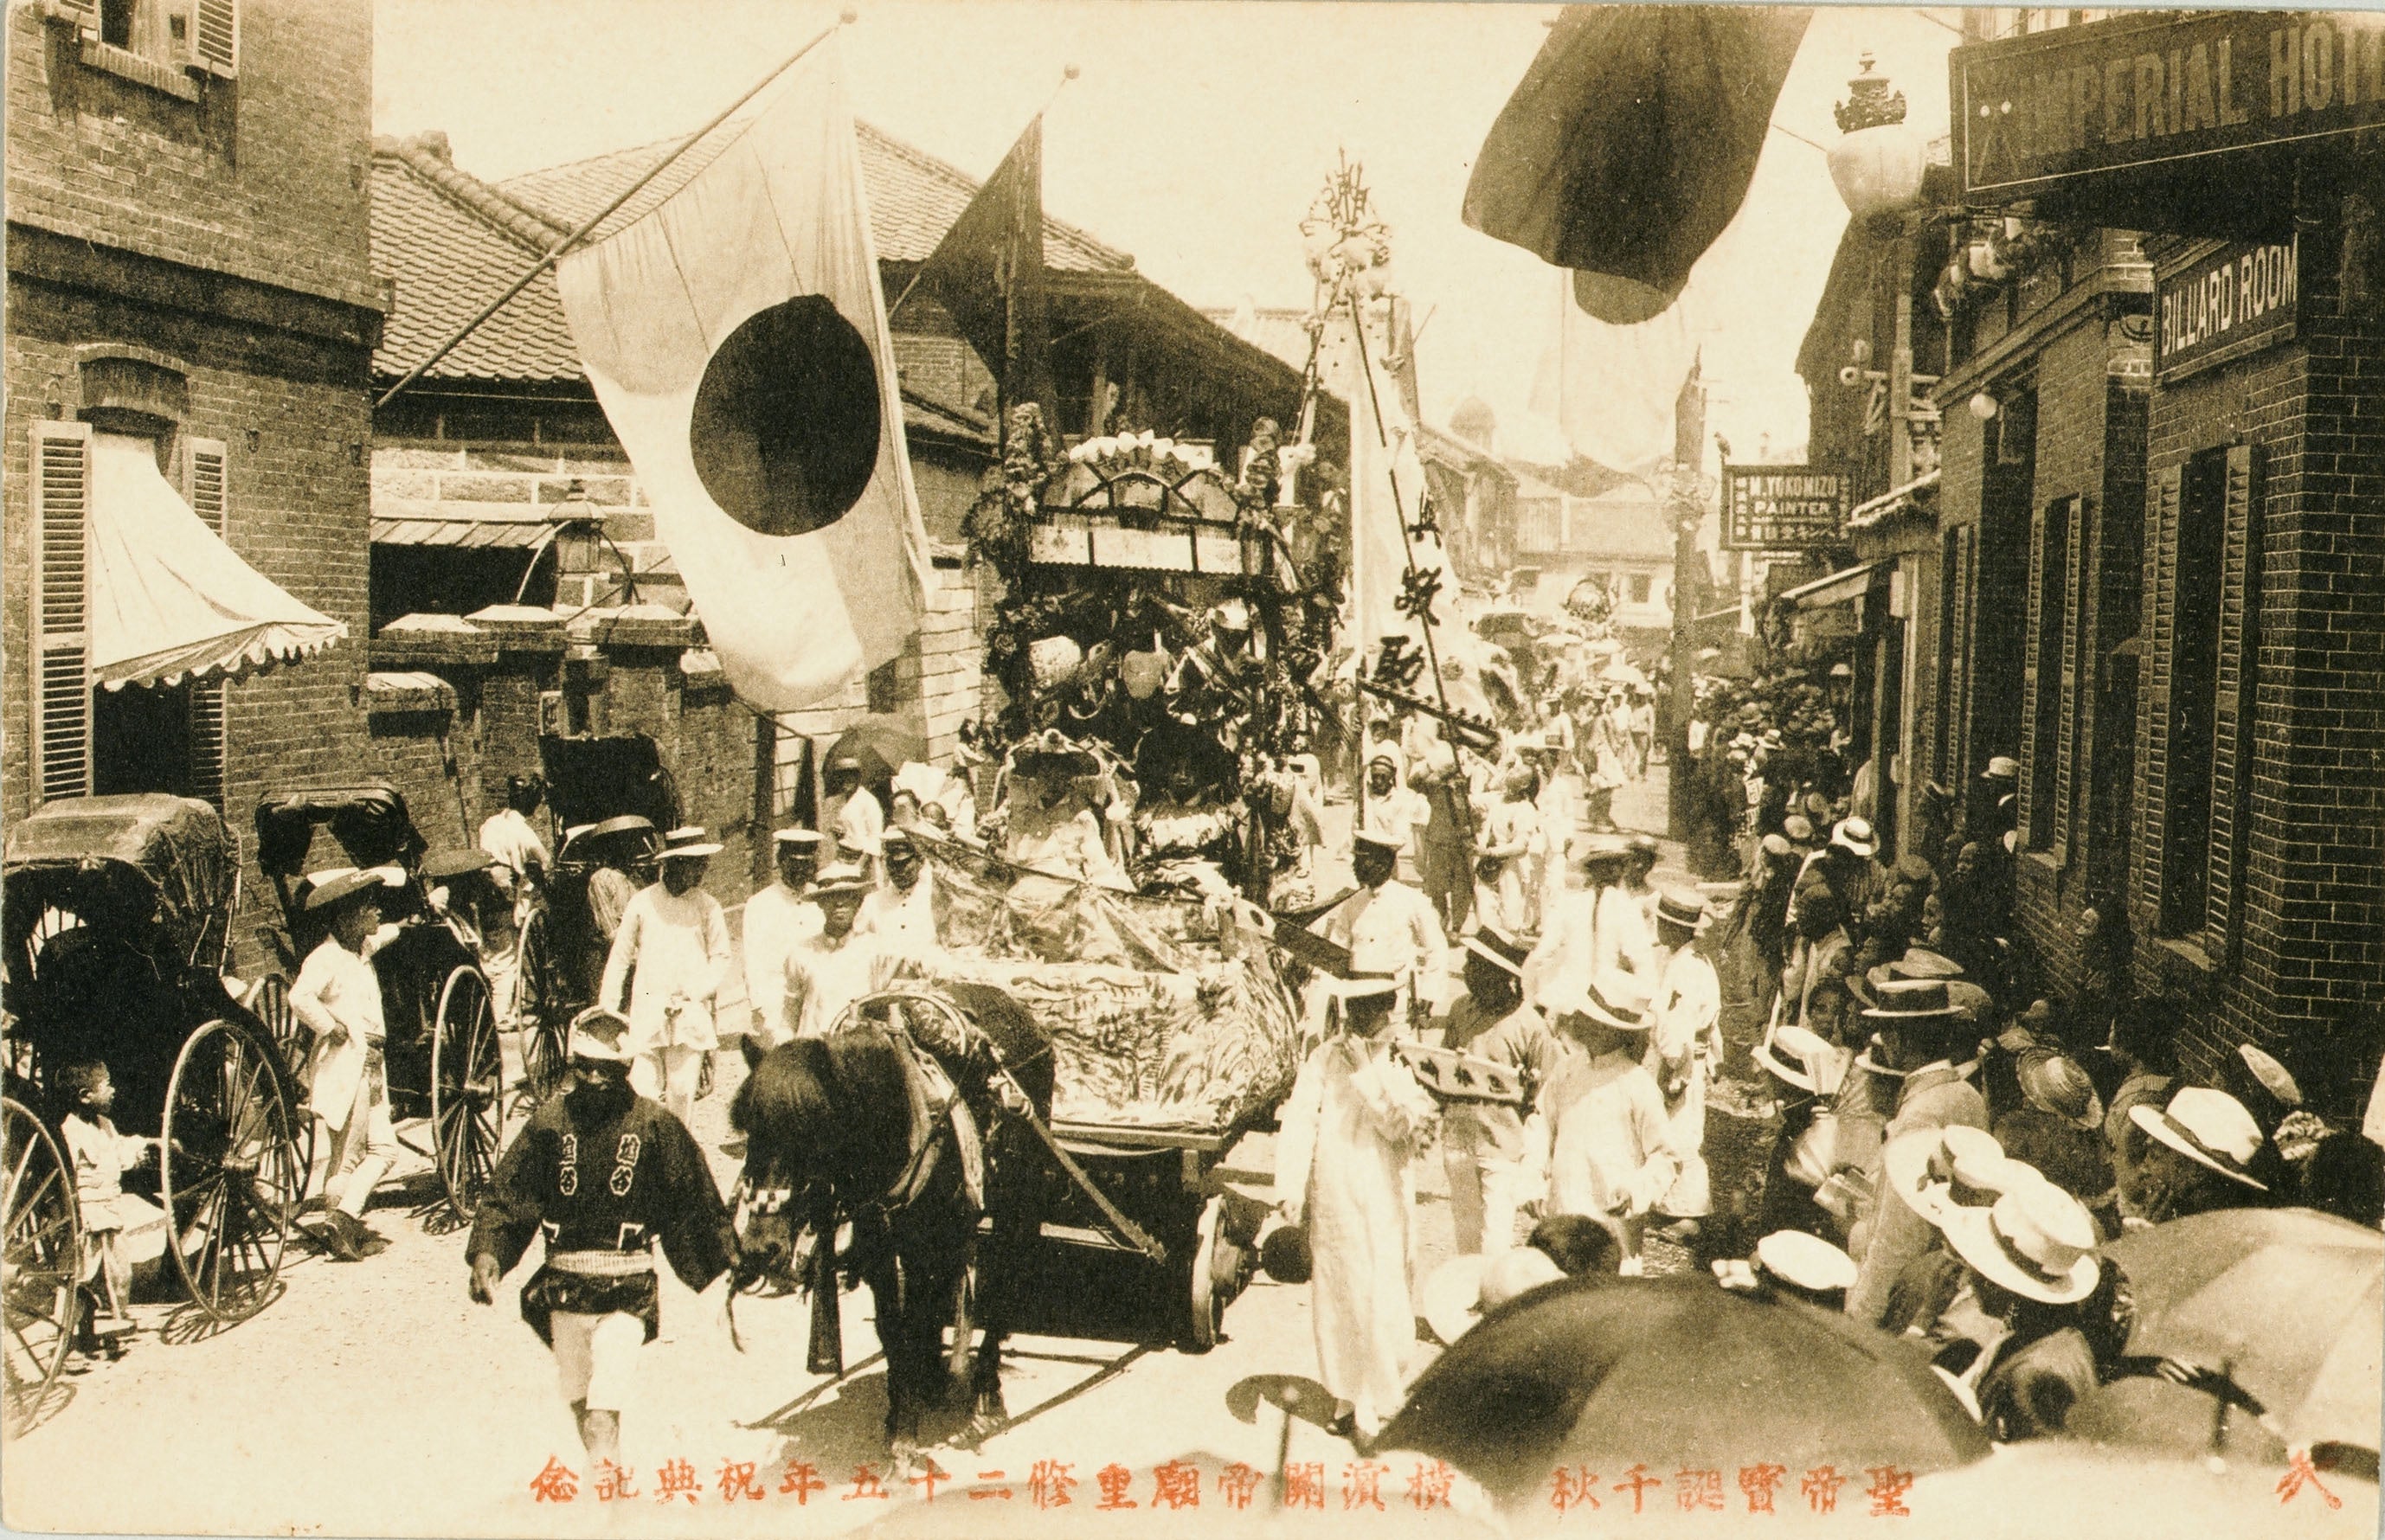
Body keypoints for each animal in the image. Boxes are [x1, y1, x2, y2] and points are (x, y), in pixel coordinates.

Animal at [730, 996, 1049, 1478]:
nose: (760, 1248)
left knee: (1003, 1288)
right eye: (752, 1132)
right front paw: (903, 1412)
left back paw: (987, 1391)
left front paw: (908, 1430)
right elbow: (892, 1325)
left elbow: (916, 1316)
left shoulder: (924, 1241)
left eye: (811, 1132)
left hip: (1019, 1203)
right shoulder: (879, 1239)